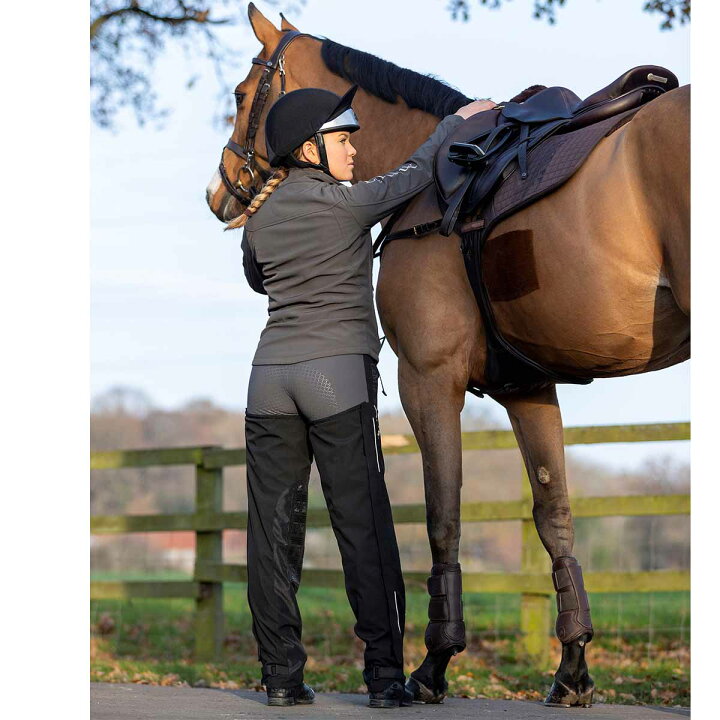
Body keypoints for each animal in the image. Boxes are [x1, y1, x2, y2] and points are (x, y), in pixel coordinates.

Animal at [205, 3, 690, 707]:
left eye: (242, 95)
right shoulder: (527, 389)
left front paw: (432, 666)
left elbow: (443, 517)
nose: (220, 192)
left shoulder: (428, 381)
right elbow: (555, 517)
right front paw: (572, 670)